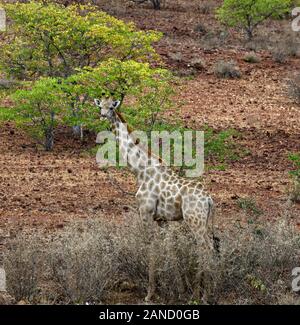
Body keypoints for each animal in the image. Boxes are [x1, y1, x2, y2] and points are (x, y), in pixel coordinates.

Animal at [94, 96, 218, 302]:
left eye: (111, 107)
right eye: (100, 106)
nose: (103, 115)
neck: (140, 170)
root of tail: (209, 199)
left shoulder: (146, 212)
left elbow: (151, 247)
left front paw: (150, 293)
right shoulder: (162, 219)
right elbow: (170, 249)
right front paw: (180, 289)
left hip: (195, 220)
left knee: (206, 247)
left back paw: (203, 295)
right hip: (204, 221)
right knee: (209, 247)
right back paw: (202, 291)